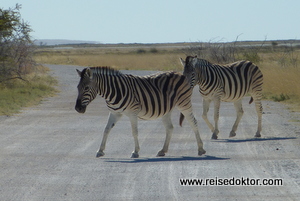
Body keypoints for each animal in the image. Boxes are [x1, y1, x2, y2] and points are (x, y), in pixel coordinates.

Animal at [75, 66, 206, 158]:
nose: (77, 109)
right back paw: (163, 150)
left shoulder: (133, 113)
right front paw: (100, 150)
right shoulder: (114, 113)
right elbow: (106, 130)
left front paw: (135, 152)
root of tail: (179, 73)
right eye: (78, 87)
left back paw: (200, 149)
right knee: (170, 127)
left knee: (194, 122)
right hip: (166, 109)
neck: (113, 91)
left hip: (184, 103)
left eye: (86, 88)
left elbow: (134, 132)